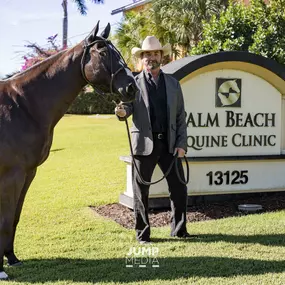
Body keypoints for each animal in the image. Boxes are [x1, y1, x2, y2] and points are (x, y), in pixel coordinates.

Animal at [0, 22, 138, 280]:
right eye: (102, 52)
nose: (132, 87)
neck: (22, 105)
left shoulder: (28, 173)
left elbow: (14, 217)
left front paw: (11, 259)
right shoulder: (11, 175)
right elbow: (4, 218)